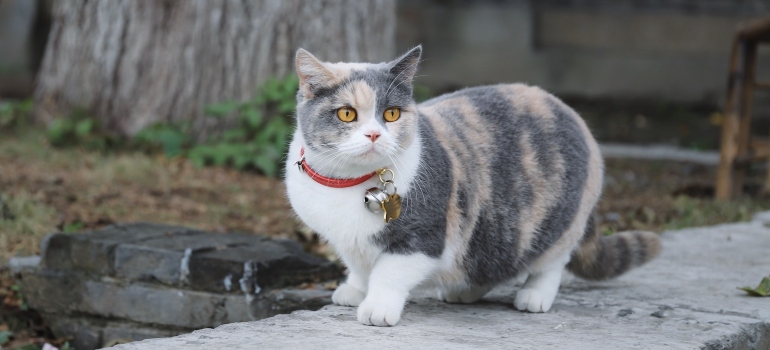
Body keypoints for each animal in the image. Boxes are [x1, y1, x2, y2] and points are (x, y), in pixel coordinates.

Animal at [284, 45, 656, 326]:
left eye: (391, 114)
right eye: (347, 114)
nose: (374, 134)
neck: (347, 183)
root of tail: (569, 110)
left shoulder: (424, 237)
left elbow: (389, 273)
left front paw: (377, 307)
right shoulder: (347, 241)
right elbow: (359, 266)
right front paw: (354, 290)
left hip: (558, 222)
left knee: (552, 261)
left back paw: (534, 295)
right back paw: (463, 290)